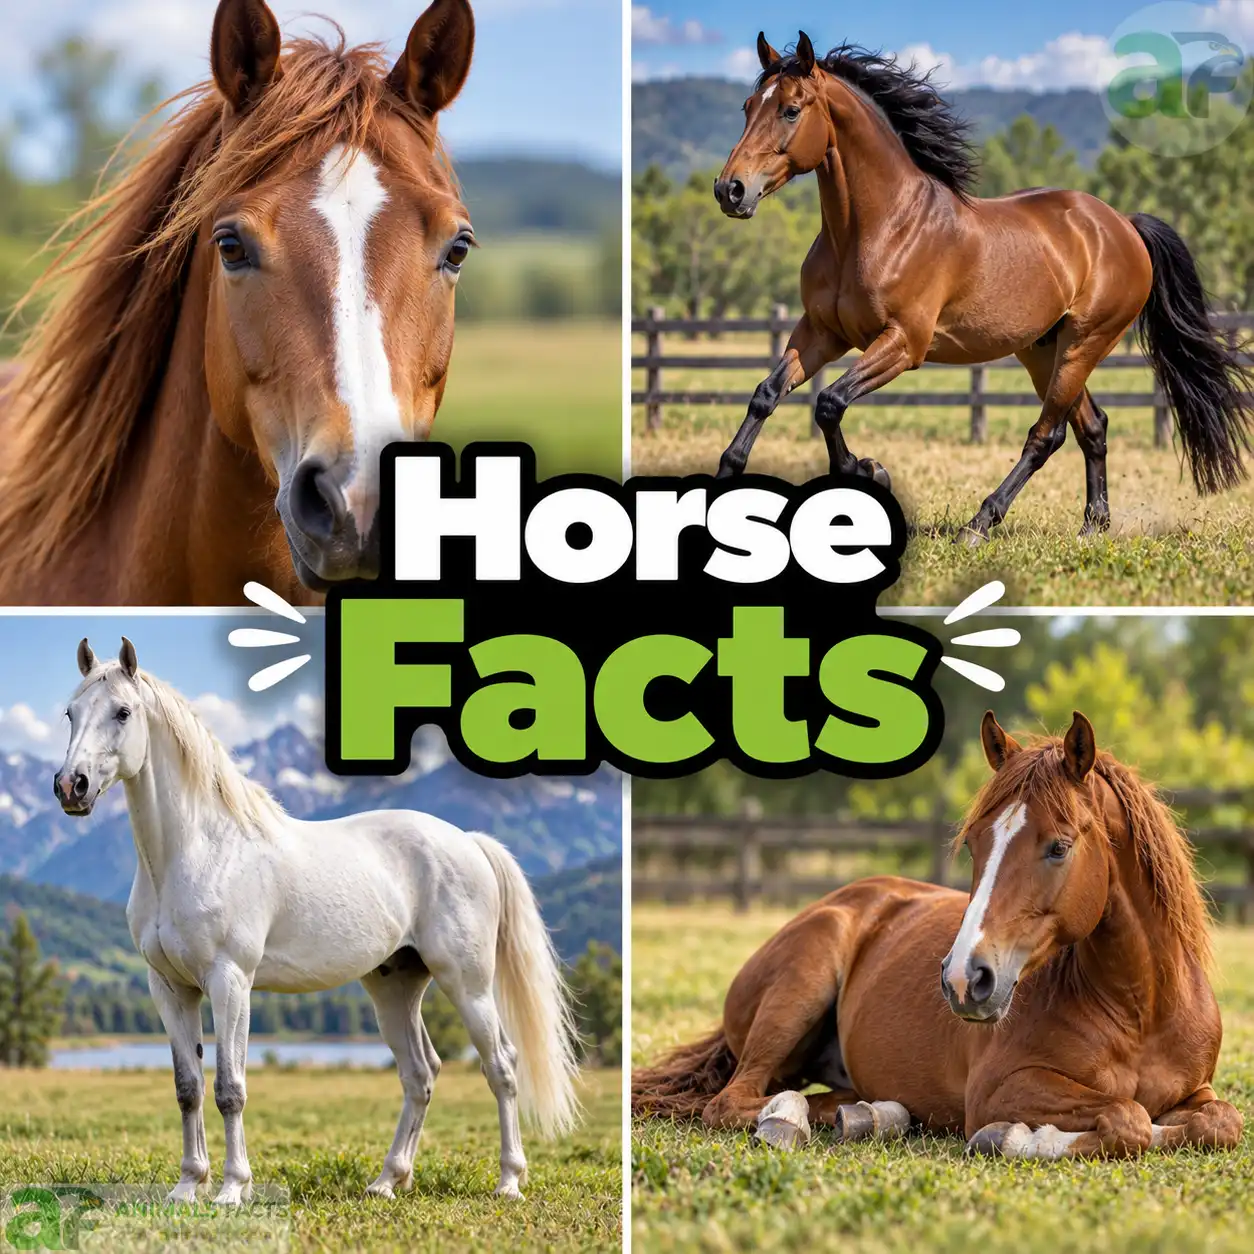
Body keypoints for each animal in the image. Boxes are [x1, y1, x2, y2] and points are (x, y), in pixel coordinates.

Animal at [54, 637, 579, 1204]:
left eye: (123, 712)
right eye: (71, 712)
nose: (71, 786)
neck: (197, 850)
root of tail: (470, 841)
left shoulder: (230, 981)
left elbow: (229, 1088)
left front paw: (232, 1189)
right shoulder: (170, 988)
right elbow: (188, 1087)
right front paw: (187, 1186)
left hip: (468, 983)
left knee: (501, 1066)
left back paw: (508, 1181)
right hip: (395, 986)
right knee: (420, 1074)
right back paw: (388, 1180)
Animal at [632, 711, 1244, 1159]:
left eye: (1059, 846)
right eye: (973, 843)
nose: (964, 979)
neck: (1141, 1009)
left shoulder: (1198, 1093)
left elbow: (1223, 1121)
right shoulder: (1002, 1088)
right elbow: (1128, 1117)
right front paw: (1017, 1137)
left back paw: (873, 1114)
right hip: (798, 988)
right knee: (737, 1101)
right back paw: (799, 1121)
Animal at [707, 34, 1254, 545]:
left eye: (791, 109)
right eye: (748, 107)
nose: (730, 190)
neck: (879, 227)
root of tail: (1122, 224)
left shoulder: (904, 344)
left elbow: (829, 403)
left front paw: (871, 471)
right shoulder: (821, 332)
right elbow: (766, 394)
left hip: (1086, 342)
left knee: (1047, 435)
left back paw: (979, 524)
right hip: (1045, 350)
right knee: (1092, 426)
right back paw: (1092, 526)